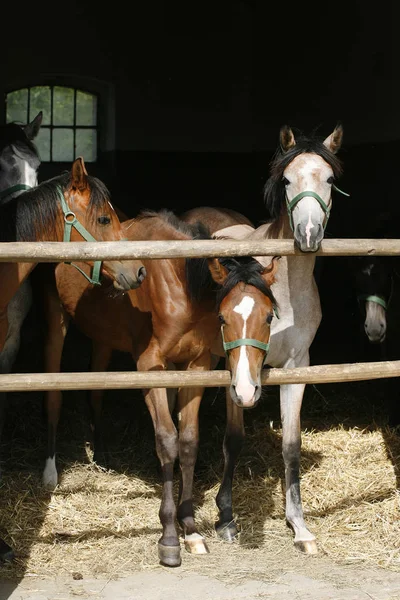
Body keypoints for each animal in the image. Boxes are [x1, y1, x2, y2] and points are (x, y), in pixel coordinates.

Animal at [40, 210, 278, 568]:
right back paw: (50, 473)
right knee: (54, 395)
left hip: (103, 338)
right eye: (223, 318)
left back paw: (102, 456)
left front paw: (190, 529)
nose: (248, 390)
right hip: (57, 321)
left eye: (269, 317)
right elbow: (167, 441)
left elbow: (189, 441)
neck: (178, 285)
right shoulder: (150, 367)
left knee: (96, 392)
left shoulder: (197, 366)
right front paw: (169, 538)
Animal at [180, 124, 346, 556]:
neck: (284, 289)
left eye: (330, 179)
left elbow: (291, 445)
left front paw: (299, 526)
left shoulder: (297, 367)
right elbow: (234, 439)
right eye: (286, 180)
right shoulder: (235, 367)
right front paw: (225, 517)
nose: (308, 233)